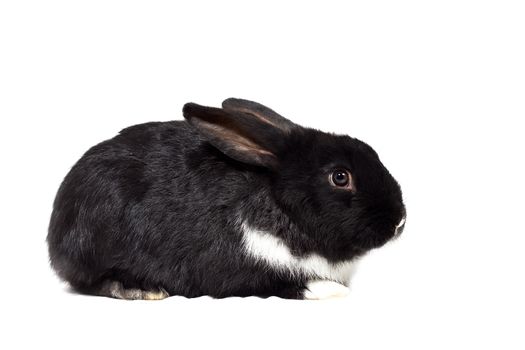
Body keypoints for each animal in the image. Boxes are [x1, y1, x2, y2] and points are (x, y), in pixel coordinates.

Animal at [47, 97, 406, 300]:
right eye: (340, 177)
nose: (400, 221)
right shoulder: (241, 268)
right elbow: (280, 283)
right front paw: (331, 290)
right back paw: (140, 289)